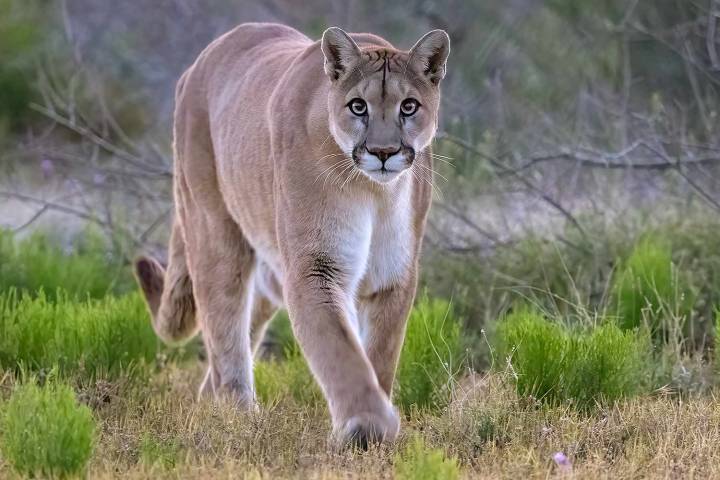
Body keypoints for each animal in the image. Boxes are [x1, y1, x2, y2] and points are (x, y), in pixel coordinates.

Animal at [134, 22, 450, 447]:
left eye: (409, 106)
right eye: (358, 106)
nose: (383, 152)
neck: (373, 191)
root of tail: (204, 58)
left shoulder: (392, 275)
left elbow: (380, 354)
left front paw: (374, 431)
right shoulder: (316, 268)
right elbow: (341, 351)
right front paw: (367, 426)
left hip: (268, 266)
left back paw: (212, 404)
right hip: (214, 232)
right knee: (225, 330)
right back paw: (239, 417)